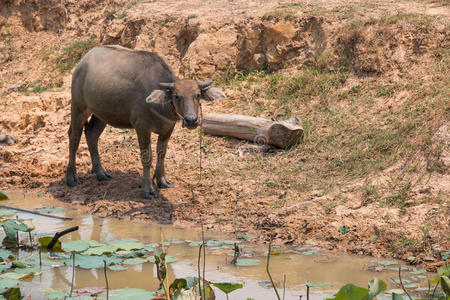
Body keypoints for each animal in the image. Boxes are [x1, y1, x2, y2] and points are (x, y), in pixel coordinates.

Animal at [65, 45, 223, 199]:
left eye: (197, 95)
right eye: (176, 96)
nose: (191, 120)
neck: (159, 106)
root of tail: (83, 61)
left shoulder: (168, 128)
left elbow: (162, 154)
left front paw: (162, 181)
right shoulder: (142, 127)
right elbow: (147, 158)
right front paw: (148, 189)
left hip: (101, 114)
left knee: (91, 134)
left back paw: (101, 174)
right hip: (79, 107)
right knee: (74, 136)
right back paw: (71, 177)